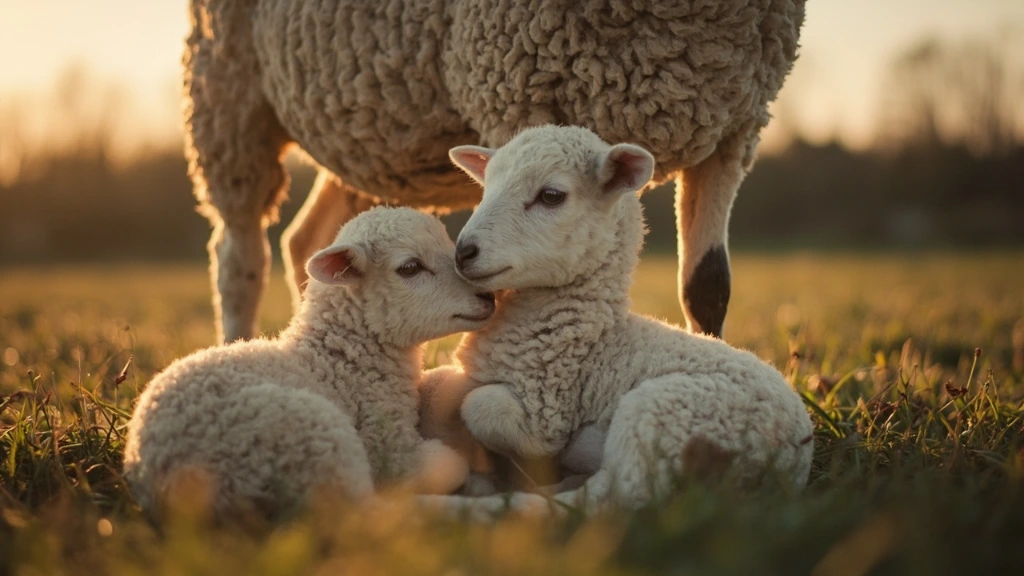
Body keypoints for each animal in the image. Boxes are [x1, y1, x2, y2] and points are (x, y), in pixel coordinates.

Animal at [123, 207, 494, 518]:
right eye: (410, 267)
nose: (488, 297)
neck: (337, 356)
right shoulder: (389, 447)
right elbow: (446, 464)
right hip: (315, 439)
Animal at [184, 0, 806, 343]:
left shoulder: (735, 126)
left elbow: (708, 287)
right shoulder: (521, 92)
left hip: (361, 130)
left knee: (308, 240)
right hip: (228, 92)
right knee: (239, 256)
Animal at [438, 125, 814, 511]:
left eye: (551, 196)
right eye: (486, 188)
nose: (463, 252)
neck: (594, 335)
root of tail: (793, 455)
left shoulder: (546, 412)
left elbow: (480, 406)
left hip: (662, 417)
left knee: (601, 501)